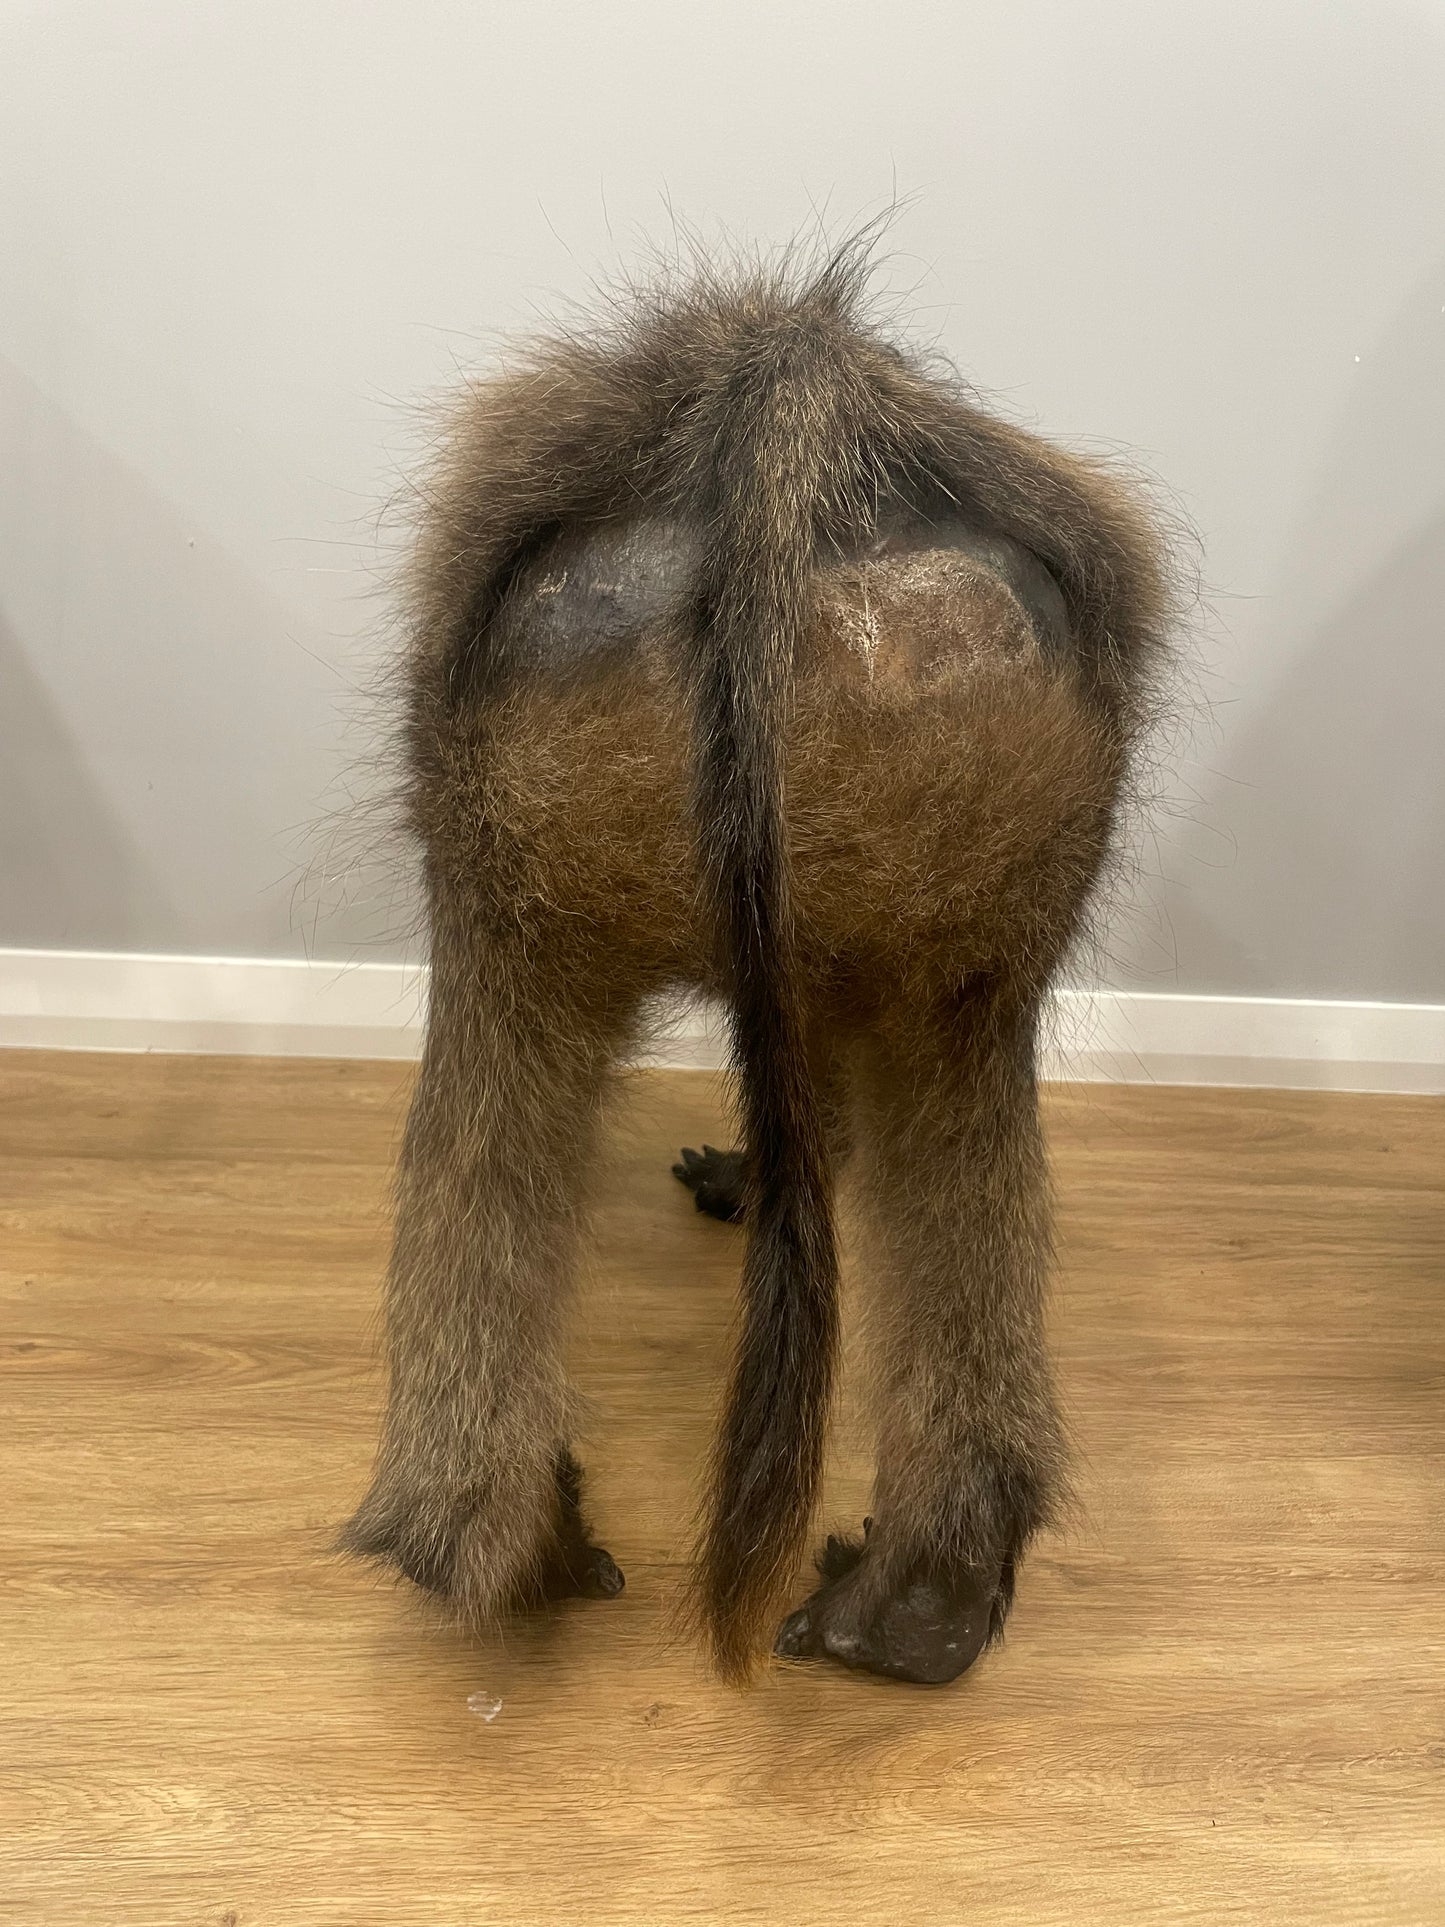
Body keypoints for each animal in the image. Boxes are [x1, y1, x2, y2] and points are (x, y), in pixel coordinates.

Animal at [339, 241, 1173, 1686]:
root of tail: (794, 420)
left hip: (499, 880)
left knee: (494, 1102)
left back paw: (510, 1542)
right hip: (957, 913)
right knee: (956, 1134)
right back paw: (911, 1603)